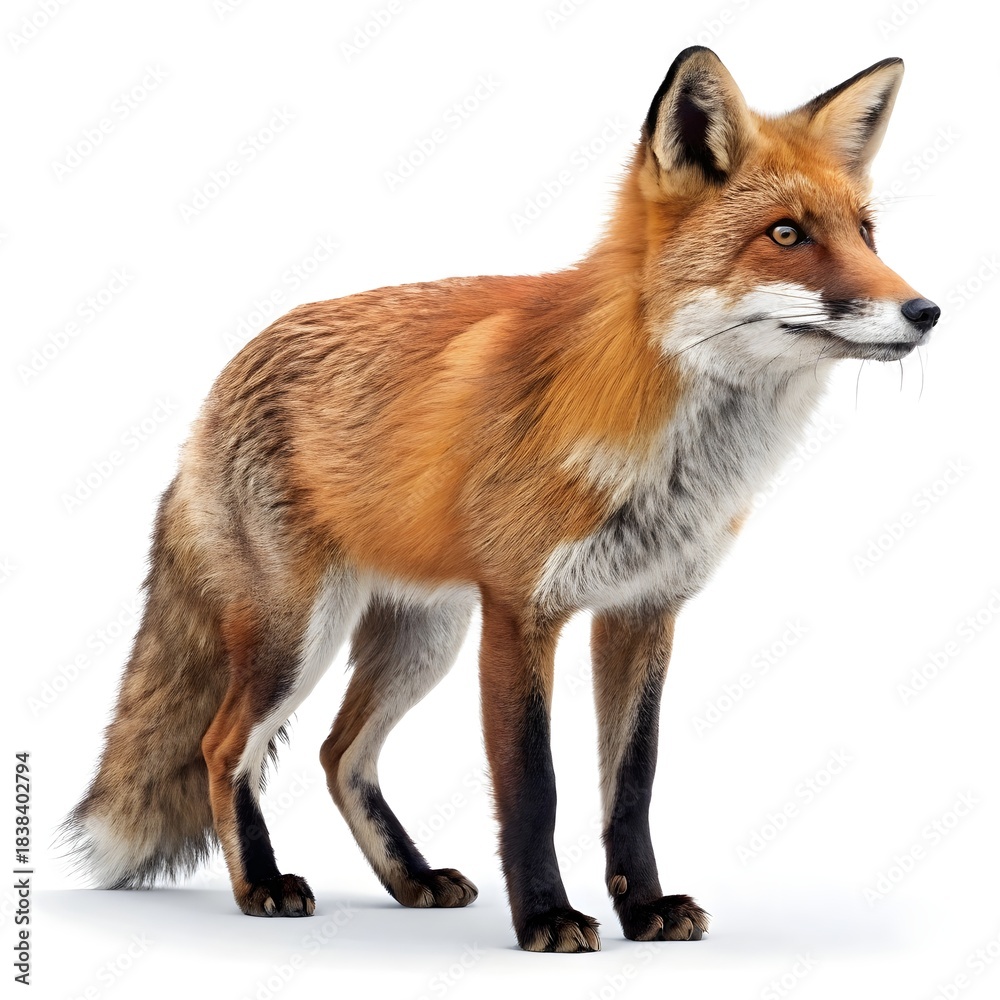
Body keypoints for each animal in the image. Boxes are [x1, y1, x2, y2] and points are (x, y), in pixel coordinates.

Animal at [63, 46, 939, 952]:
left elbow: (632, 783)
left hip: (425, 636)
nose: (926, 311)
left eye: (866, 234)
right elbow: (534, 786)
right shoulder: (521, 609)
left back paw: (411, 878)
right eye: (786, 235)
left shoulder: (644, 610)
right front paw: (547, 917)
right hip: (296, 636)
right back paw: (263, 884)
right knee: (223, 743)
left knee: (340, 754)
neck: (663, 444)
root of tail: (221, 381)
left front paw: (643, 907)